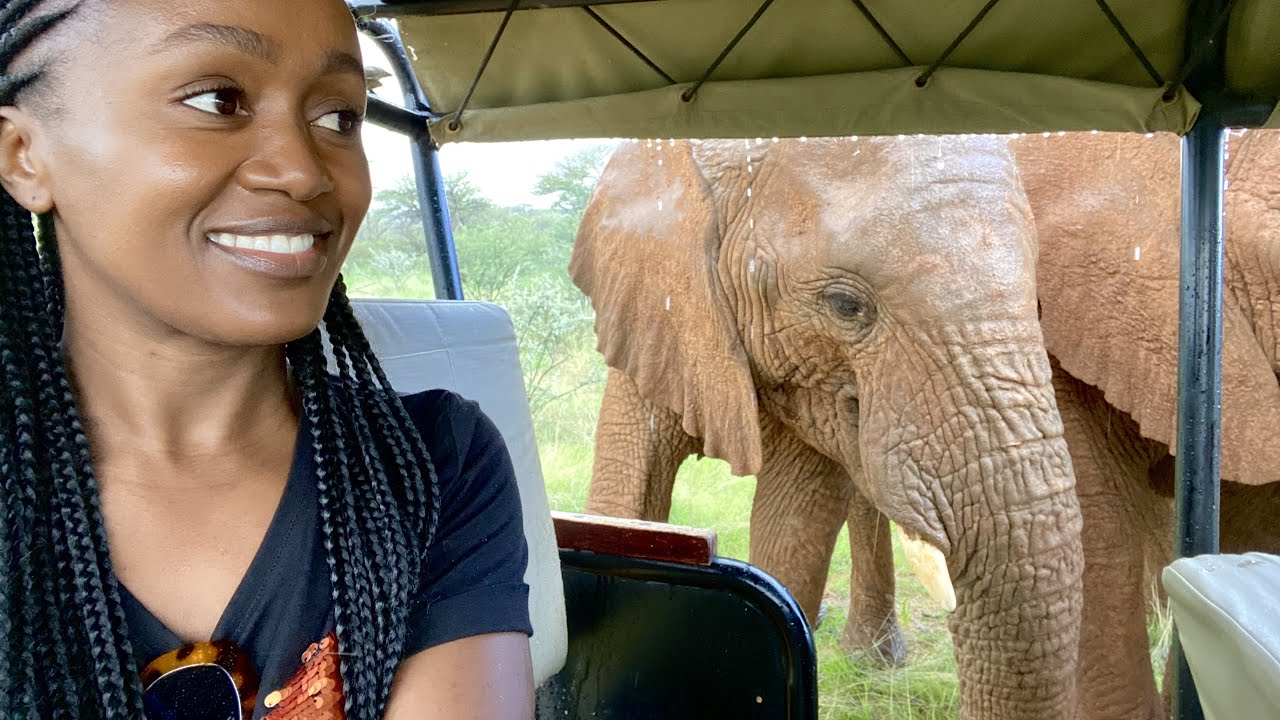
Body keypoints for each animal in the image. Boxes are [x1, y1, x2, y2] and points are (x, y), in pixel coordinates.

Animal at [571, 136, 1085, 720]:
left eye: (1039, 303)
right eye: (845, 305)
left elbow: (795, 521)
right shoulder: (657, 309)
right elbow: (625, 504)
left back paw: (870, 658)